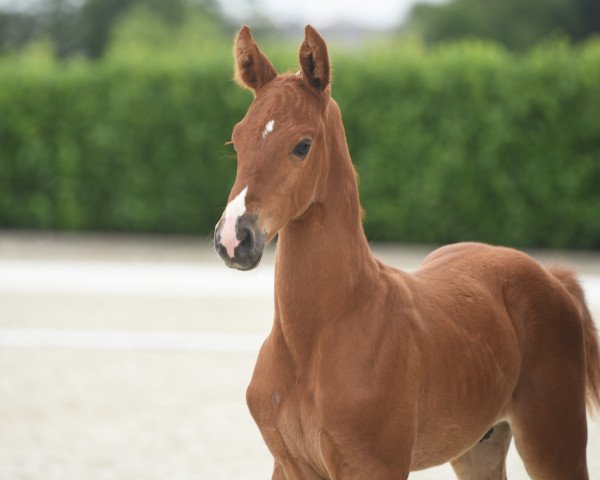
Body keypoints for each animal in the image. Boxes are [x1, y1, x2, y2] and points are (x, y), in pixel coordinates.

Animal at [212, 24, 600, 478]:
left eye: (302, 145)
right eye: (236, 141)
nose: (234, 238)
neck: (313, 341)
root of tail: (551, 276)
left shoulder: (375, 465)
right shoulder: (289, 465)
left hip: (553, 440)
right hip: (479, 447)